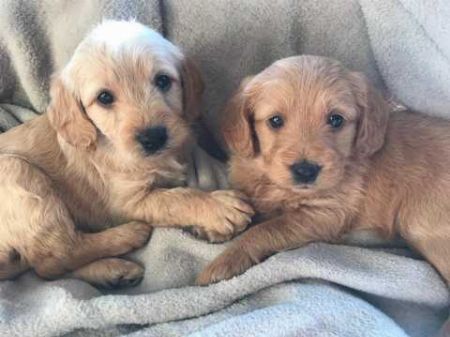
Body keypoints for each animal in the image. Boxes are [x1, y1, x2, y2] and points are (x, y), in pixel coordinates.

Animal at [0, 21, 253, 288]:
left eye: (163, 80)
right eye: (104, 97)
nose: (153, 137)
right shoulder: (128, 201)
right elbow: (176, 198)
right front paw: (219, 207)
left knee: (47, 267)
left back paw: (113, 272)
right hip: (18, 171)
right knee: (58, 256)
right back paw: (128, 236)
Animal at [199, 54, 450, 284]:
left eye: (336, 120)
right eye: (275, 121)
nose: (305, 170)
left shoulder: (324, 213)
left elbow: (264, 230)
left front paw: (226, 260)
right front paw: (217, 218)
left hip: (422, 226)